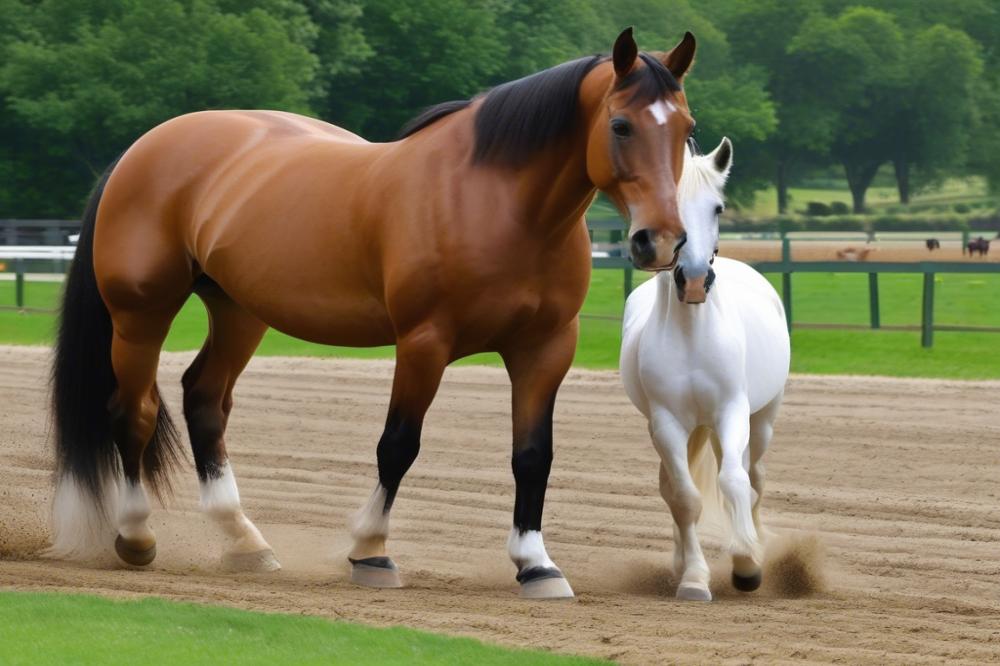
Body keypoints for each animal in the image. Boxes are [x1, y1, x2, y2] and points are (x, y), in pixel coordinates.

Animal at [48, 27, 696, 596]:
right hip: (141, 313)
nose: (659, 242)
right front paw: (371, 551)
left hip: (239, 312)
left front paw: (536, 564)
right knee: (134, 411)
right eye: (620, 125)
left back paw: (244, 542)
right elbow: (399, 444)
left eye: (687, 130)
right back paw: (135, 535)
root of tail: (140, 149)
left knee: (204, 400)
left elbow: (533, 456)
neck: (499, 205)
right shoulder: (424, 342)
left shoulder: (546, 349)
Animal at [616, 137, 788, 600]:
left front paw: (747, 564)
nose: (693, 280)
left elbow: (734, 483)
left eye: (718, 208)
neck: (693, 334)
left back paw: (757, 543)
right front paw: (693, 578)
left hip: (761, 420)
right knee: (674, 487)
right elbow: (684, 497)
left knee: (753, 478)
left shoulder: (731, 411)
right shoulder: (667, 423)